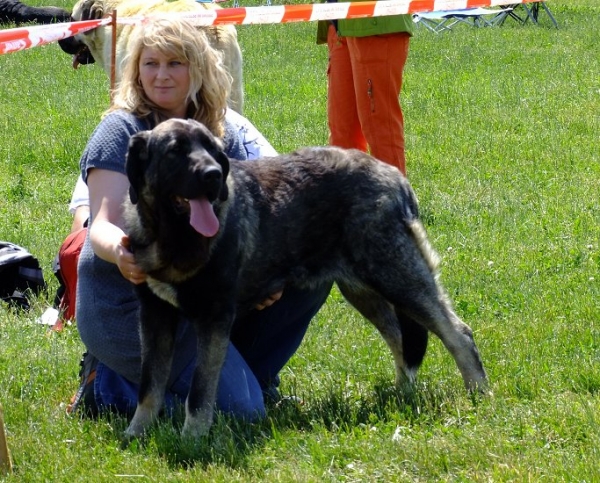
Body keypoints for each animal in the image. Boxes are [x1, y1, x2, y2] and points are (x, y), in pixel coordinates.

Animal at [122, 119, 488, 440]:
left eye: (212, 149)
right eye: (175, 151)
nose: (213, 175)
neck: (174, 237)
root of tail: (395, 176)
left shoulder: (214, 318)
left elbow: (199, 391)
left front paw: (192, 439)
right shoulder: (154, 316)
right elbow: (149, 385)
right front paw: (137, 433)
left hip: (396, 274)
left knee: (457, 333)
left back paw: (479, 395)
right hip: (363, 289)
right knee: (400, 338)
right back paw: (402, 394)